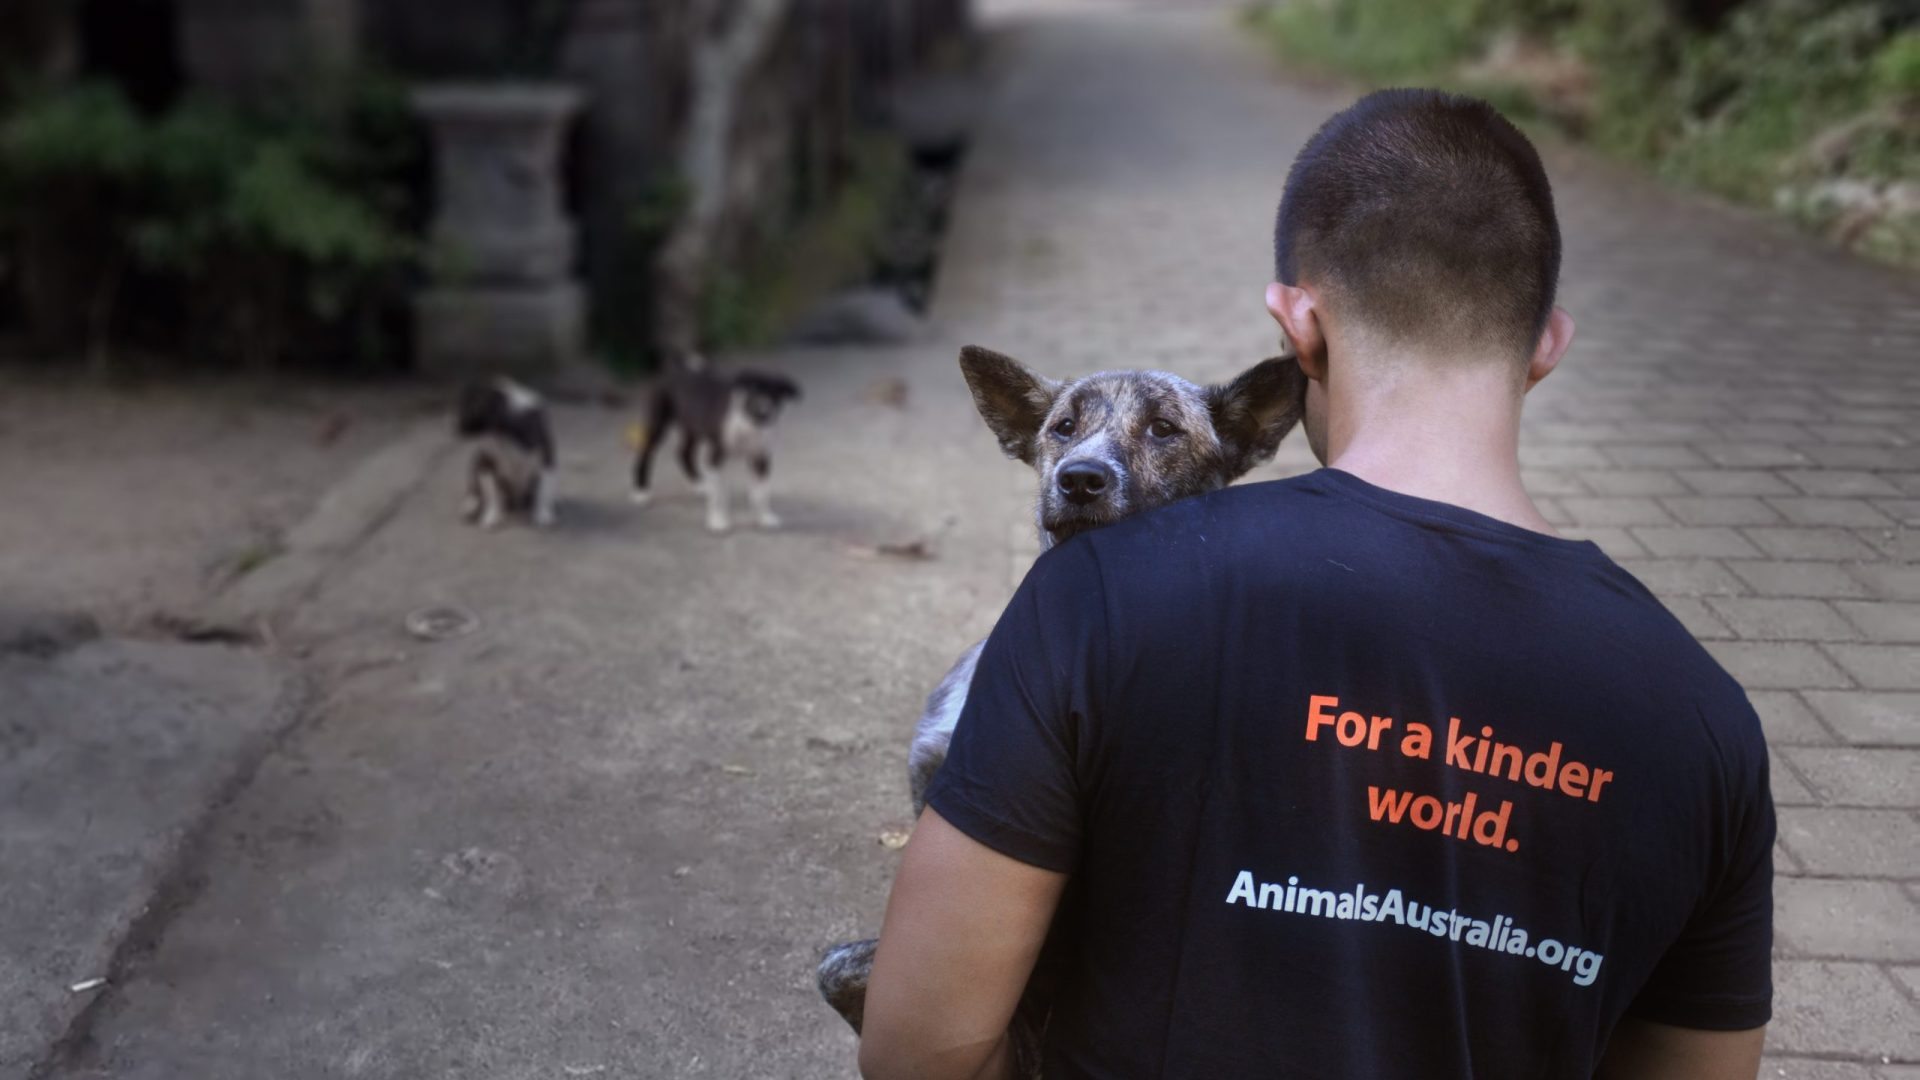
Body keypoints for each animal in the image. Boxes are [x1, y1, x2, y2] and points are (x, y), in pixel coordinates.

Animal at [455, 378, 560, 530]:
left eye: (467, 409)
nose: (455, 427)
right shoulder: (486, 463)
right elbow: (492, 492)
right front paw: (492, 517)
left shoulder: (546, 461)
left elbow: (543, 491)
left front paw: (542, 515)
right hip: (476, 462)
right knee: (475, 488)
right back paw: (471, 505)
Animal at [633, 359, 798, 530]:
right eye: (753, 391)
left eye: (775, 395)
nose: (763, 412)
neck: (748, 424)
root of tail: (670, 370)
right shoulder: (715, 457)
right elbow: (719, 494)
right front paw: (718, 521)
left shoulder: (761, 458)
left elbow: (761, 493)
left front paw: (765, 517)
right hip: (659, 423)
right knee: (645, 454)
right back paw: (641, 492)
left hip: (692, 426)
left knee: (683, 452)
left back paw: (700, 485)